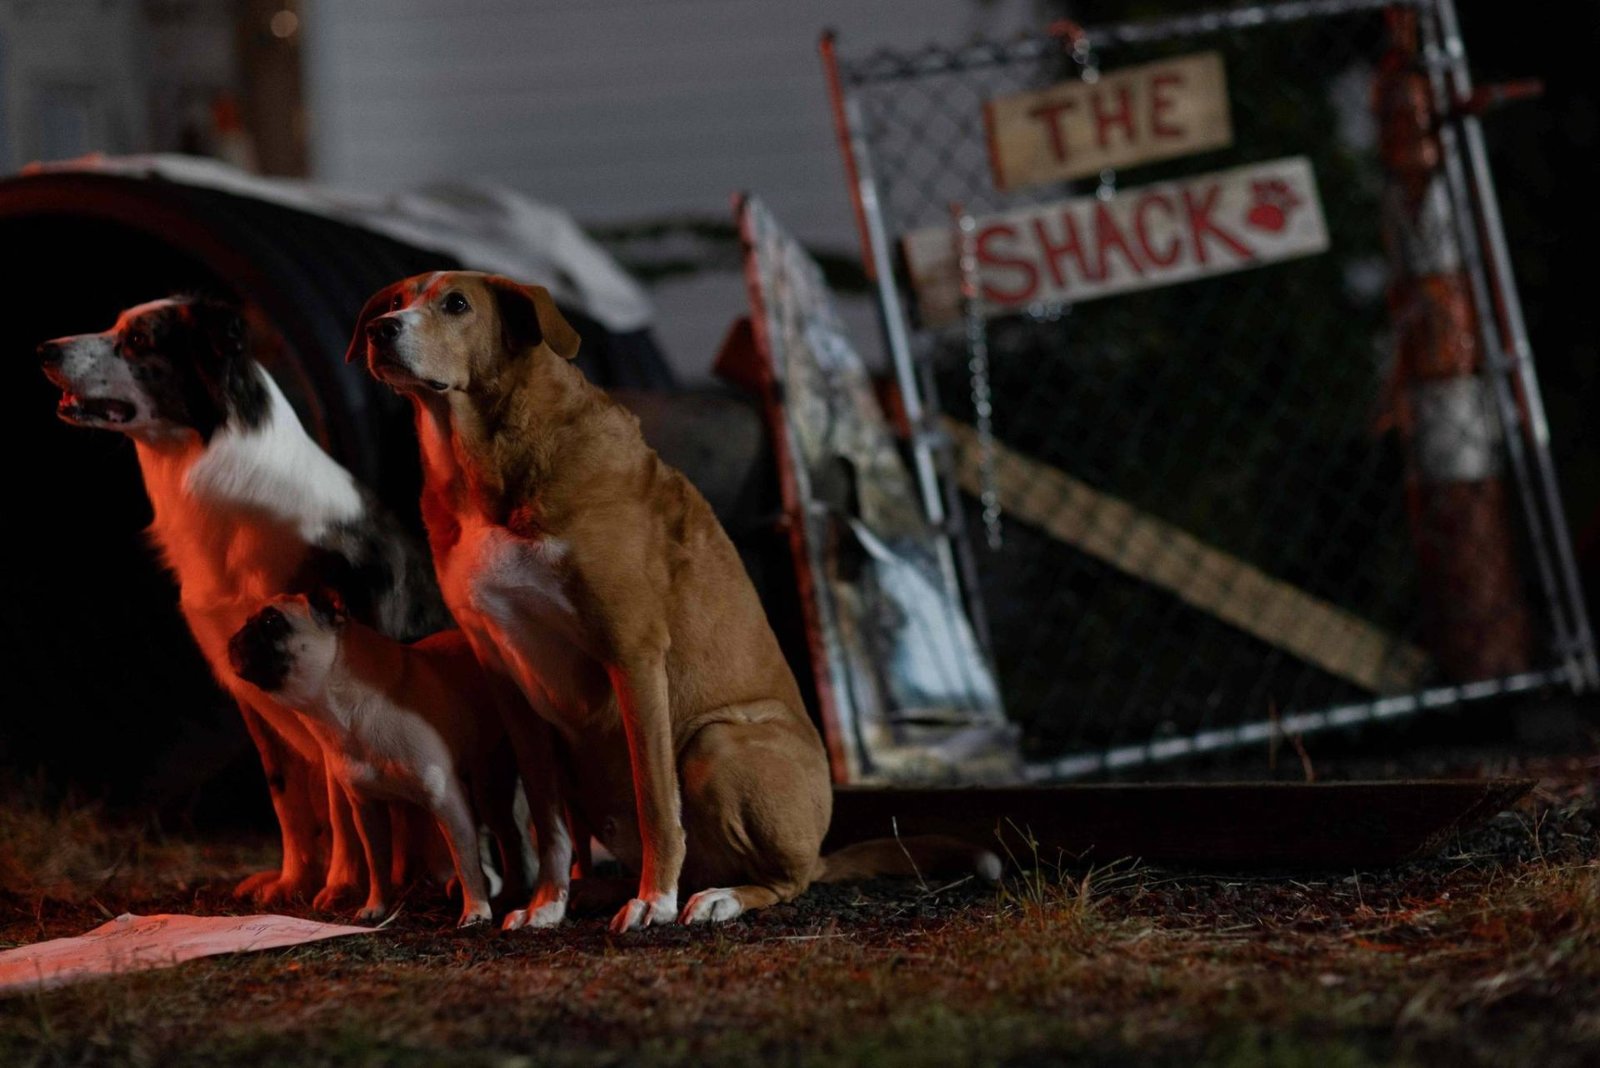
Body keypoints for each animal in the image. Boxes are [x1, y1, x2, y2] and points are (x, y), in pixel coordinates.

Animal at [39, 295, 451, 908]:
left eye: (137, 340)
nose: (44, 349)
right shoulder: (249, 680)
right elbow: (288, 795)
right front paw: (292, 882)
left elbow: (339, 795)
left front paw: (340, 886)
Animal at [228, 591, 524, 927]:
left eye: (271, 622)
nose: (235, 638)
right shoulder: (368, 809)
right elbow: (377, 863)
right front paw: (377, 907)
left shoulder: (446, 800)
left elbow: (465, 860)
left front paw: (475, 910)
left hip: (490, 790)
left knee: (509, 839)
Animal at [352, 271, 998, 927]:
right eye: (395, 301)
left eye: (456, 304)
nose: (381, 330)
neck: (484, 462)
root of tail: (817, 851)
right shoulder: (509, 680)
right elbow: (548, 823)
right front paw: (546, 906)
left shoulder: (632, 653)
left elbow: (657, 800)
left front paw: (652, 901)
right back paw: (599, 889)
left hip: (716, 742)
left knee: (786, 879)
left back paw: (716, 897)